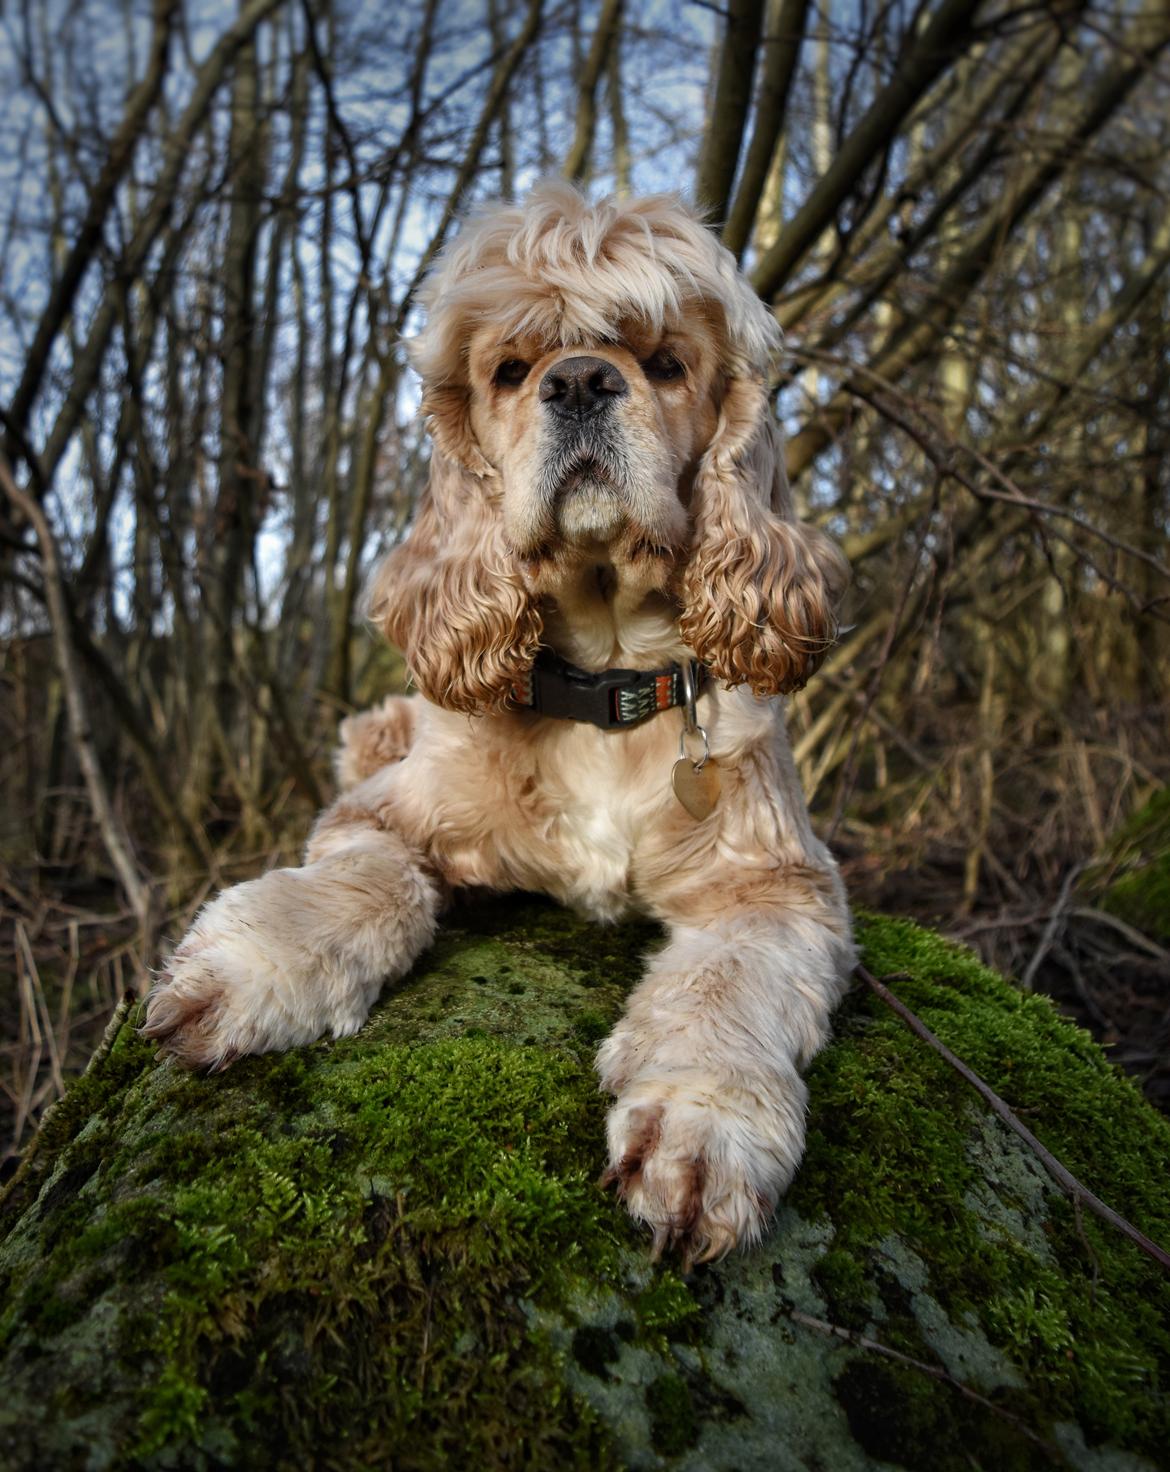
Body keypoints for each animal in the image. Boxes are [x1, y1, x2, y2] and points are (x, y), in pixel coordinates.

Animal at [144, 184, 853, 1265]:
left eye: (665, 362)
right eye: (510, 371)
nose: (582, 380)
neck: (604, 685)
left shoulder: (779, 885)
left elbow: (727, 982)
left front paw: (703, 1121)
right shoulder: (379, 812)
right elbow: (373, 882)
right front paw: (248, 970)